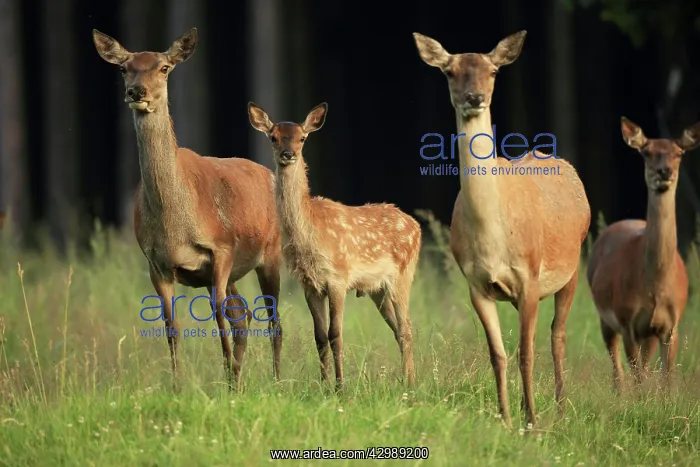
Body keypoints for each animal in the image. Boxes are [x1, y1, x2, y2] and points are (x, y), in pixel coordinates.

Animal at [92, 28, 283, 390]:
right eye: (124, 68)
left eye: (164, 67)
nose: (136, 91)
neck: (174, 225)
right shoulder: (156, 263)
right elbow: (172, 327)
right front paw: (179, 386)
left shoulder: (222, 248)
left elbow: (219, 320)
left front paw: (225, 383)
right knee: (244, 315)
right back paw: (239, 380)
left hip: (271, 253)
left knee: (271, 319)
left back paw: (275, 380)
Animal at [247, 102, 421, 389]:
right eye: (273, 137)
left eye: (302, 138)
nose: (288, 154)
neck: (310, 233)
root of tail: (416, 225)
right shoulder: (309, 284)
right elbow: (319, 336)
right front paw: (324, 385)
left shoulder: (338, 278)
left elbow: (335, 334)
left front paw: (341, 387)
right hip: (377, 289)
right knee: (398, 329)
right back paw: (404, 380)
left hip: (403, 275)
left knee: (407, 329)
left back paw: (410, 383)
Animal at [413, 31, 591, 428]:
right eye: (449, 71)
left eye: (493, 71)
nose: (474, 97)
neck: (494, 238)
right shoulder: (476, 284)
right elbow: (498, 354)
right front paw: (507, 418)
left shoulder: (530, 276)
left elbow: (526, 353)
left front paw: (533, 423)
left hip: (572, 267)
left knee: (557, 336)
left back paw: (560, 411)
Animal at [587, 117, 697, 391]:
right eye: (646, 152)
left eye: (679, 153)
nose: (664, 171)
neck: (655, 287)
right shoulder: (627, 321)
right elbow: (636, 377)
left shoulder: (671, 325)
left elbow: (666, 379)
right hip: (606, 318)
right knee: (618, 370)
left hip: (649, 333)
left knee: (642, 367)